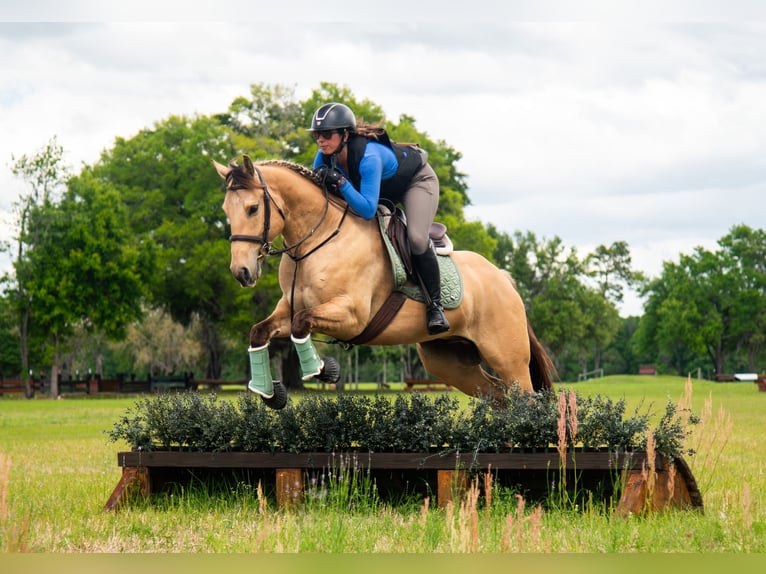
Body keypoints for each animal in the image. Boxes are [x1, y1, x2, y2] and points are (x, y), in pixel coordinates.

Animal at [214, 155, 555, 409]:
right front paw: (269, 392)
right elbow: (259, 331)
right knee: (498, 396)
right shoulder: (289, 308)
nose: (241, 272)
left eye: (253, 208)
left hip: (508, 358)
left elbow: (302, 324)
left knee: (524, 397)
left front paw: (323, 370)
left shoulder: (352, 315)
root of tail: (503, 279)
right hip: (449, 363)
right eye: (225, 210)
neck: (317, 241)